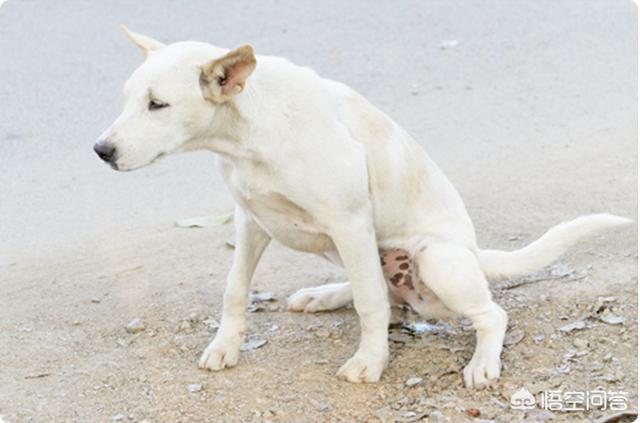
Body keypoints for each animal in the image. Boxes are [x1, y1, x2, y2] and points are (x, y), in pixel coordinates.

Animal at [95, 28, 632, 390]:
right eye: (128, 100)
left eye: (158, 105)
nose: (100, 150)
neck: (248, 135)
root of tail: (476, 252)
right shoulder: (251, 221)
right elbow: (234, 290)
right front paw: (225, 346)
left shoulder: (350, 222)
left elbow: (372, 305)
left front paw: (370, 362)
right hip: (340, 249)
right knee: (377, 291)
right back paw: (322, 294)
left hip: (436, 260)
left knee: (486, 313)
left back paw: (483, 362)